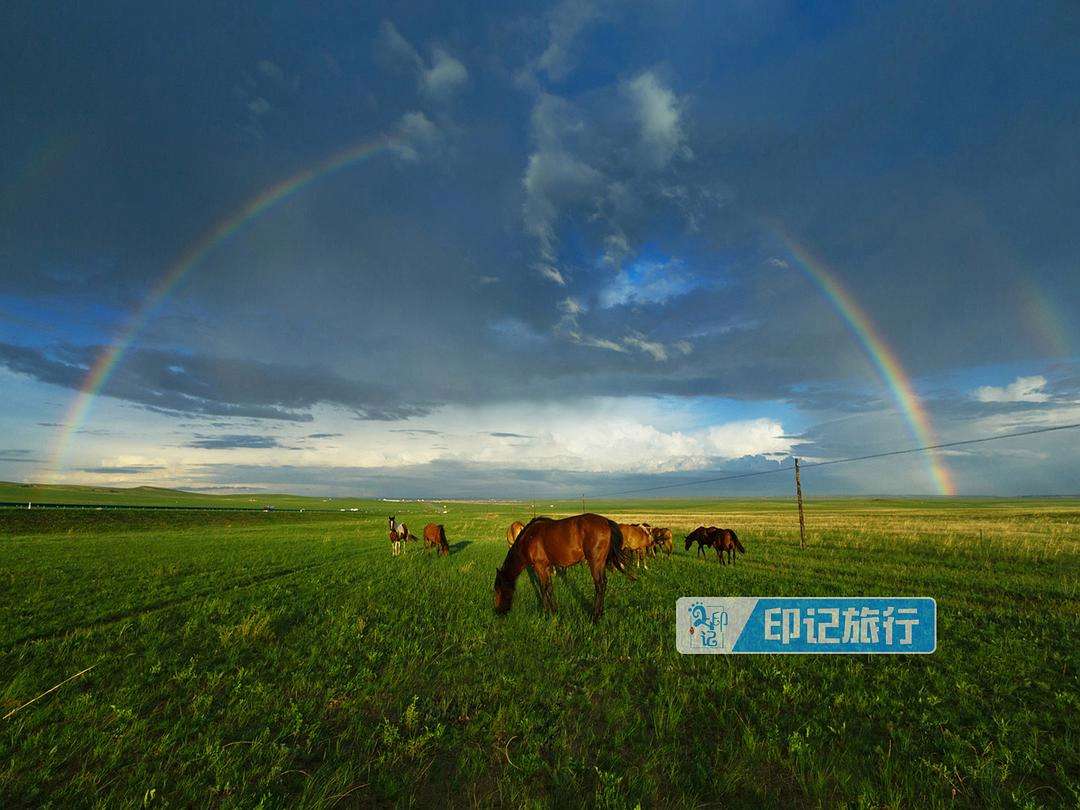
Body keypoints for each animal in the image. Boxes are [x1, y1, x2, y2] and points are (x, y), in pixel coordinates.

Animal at [494, 516, 635, 626]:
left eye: (497, 590)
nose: (498, 612)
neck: (529, 538)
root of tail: (606, 522)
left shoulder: (540, 567)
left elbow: (543, 588)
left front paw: (545, 613)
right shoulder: (546, 567)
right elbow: (549, 588)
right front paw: (555, 612)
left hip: (595, 562)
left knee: (599, 585)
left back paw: (595, 618)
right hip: (600, 563)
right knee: (604, 583)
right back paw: (600, 614)